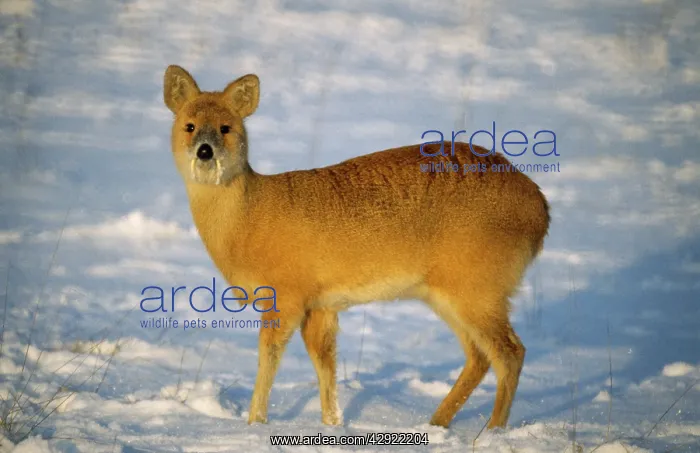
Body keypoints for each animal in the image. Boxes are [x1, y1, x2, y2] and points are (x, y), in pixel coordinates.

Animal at [162, 65, 550, 430]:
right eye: (190, 125)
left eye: (226, 127)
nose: (205, 151)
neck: (249, 221)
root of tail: (541, 211)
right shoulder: (320, 305)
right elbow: (325, 366)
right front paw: (332, 425)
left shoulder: (287, 293)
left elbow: (269, 357)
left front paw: (254, 423)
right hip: (447, 292)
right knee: (479, 356)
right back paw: (437, 423)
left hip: (479, 285)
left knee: (510, 352)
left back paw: (491, 432)